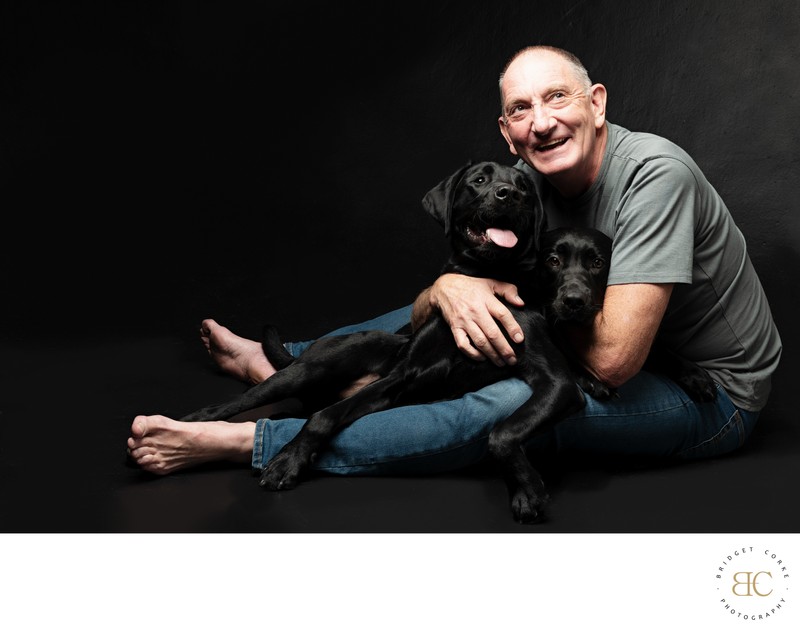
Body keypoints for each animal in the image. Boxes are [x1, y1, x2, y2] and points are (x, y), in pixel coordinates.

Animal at [180, 162, 608, 524]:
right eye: (480, 180)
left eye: (523, 187)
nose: (510, 195)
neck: (486, 281)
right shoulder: (405, 376)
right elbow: (325, 418)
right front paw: (288, 461)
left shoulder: (555, 383)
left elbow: (502, 433)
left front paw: (526, 490)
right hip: (311, 368)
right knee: (241, 402)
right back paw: (188, 422)